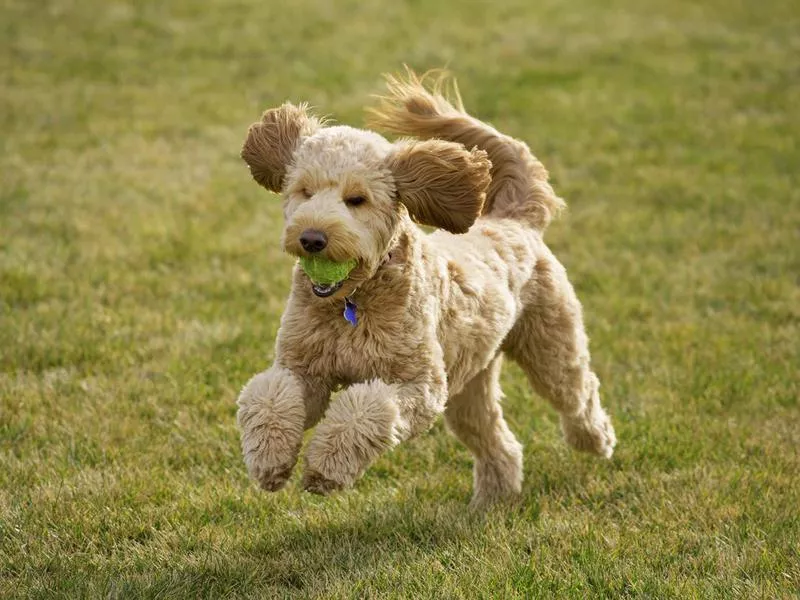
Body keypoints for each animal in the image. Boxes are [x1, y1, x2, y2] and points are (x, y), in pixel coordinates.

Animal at [234, 71, 616, 510]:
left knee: (578, 394)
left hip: (551, 347)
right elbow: (270, 396)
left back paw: (596, 440)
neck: (352, 303)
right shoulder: (304, 369)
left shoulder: (420, 385)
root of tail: (517, 221)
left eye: (357, 199)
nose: (312, 238)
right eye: (304, 191)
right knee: (496, 440)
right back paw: (492, 500)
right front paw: (270, 461)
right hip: (470, 384)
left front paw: (325, 469)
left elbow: (367, 409)